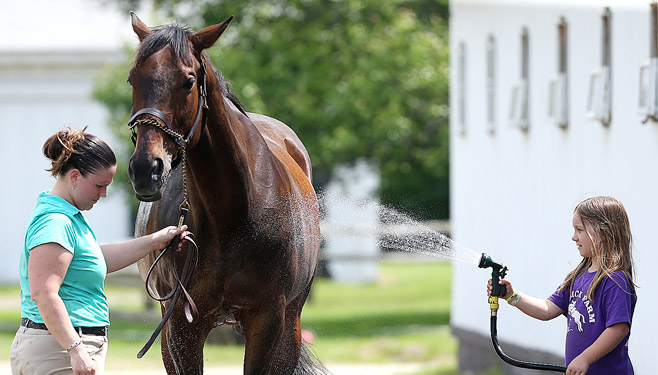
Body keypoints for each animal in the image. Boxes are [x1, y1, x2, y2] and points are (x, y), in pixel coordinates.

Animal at [125, 12, 322, 375]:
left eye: (188, 81)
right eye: (133, 79)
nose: (147, 168)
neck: (232, 215)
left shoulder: (267, 320)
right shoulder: (181, 326)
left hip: (291, 325)